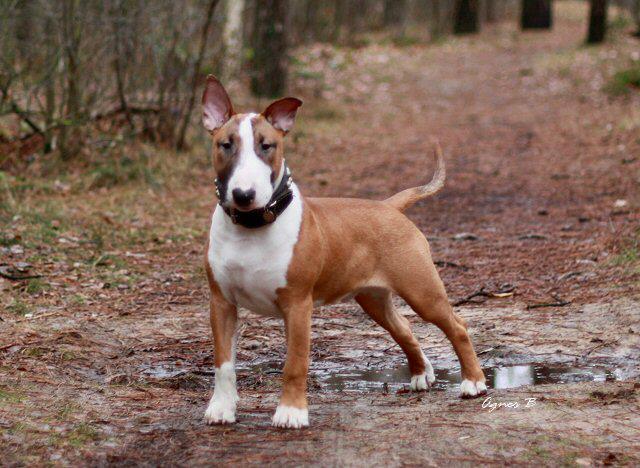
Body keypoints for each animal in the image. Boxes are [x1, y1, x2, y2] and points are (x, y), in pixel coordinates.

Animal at [201, 76, 486, 429]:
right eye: (225, 144)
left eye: (266, 146)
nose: (244, 195)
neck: (251, 228)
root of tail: (390, 206)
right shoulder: (221, 302)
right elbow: (223, 363)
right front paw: (221, 409)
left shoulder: (298, 304)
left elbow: (295, 363)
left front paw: (291, 412)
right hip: (373, 298)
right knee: (404, 329)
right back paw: (421, 375)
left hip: (422, 290)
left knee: (456, 326)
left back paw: (473, 383)